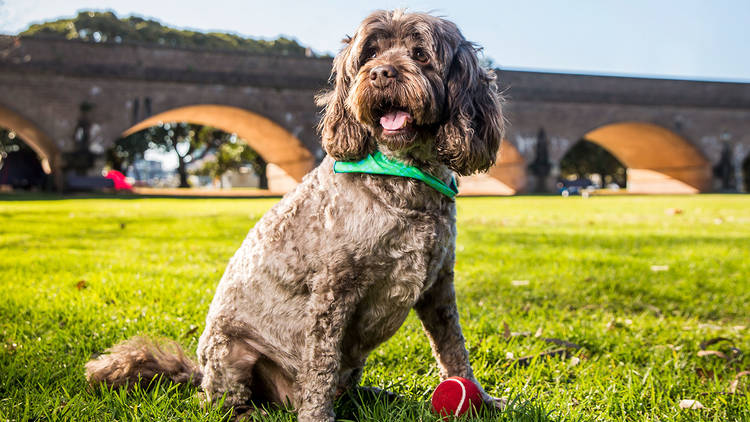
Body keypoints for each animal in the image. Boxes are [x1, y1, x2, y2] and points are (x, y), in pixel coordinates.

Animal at [86, 9, 506, 422]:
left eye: (420, 54)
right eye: (369, 54)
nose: (381, 74)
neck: (402, 178)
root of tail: (200, 375)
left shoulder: (439, 287)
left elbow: (454, 348)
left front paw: (480, 399)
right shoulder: (333, 290)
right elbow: (320, 362)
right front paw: (317, 416)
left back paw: (379, 396)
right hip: (231, 351)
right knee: (223, 402)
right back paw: (252, 411)